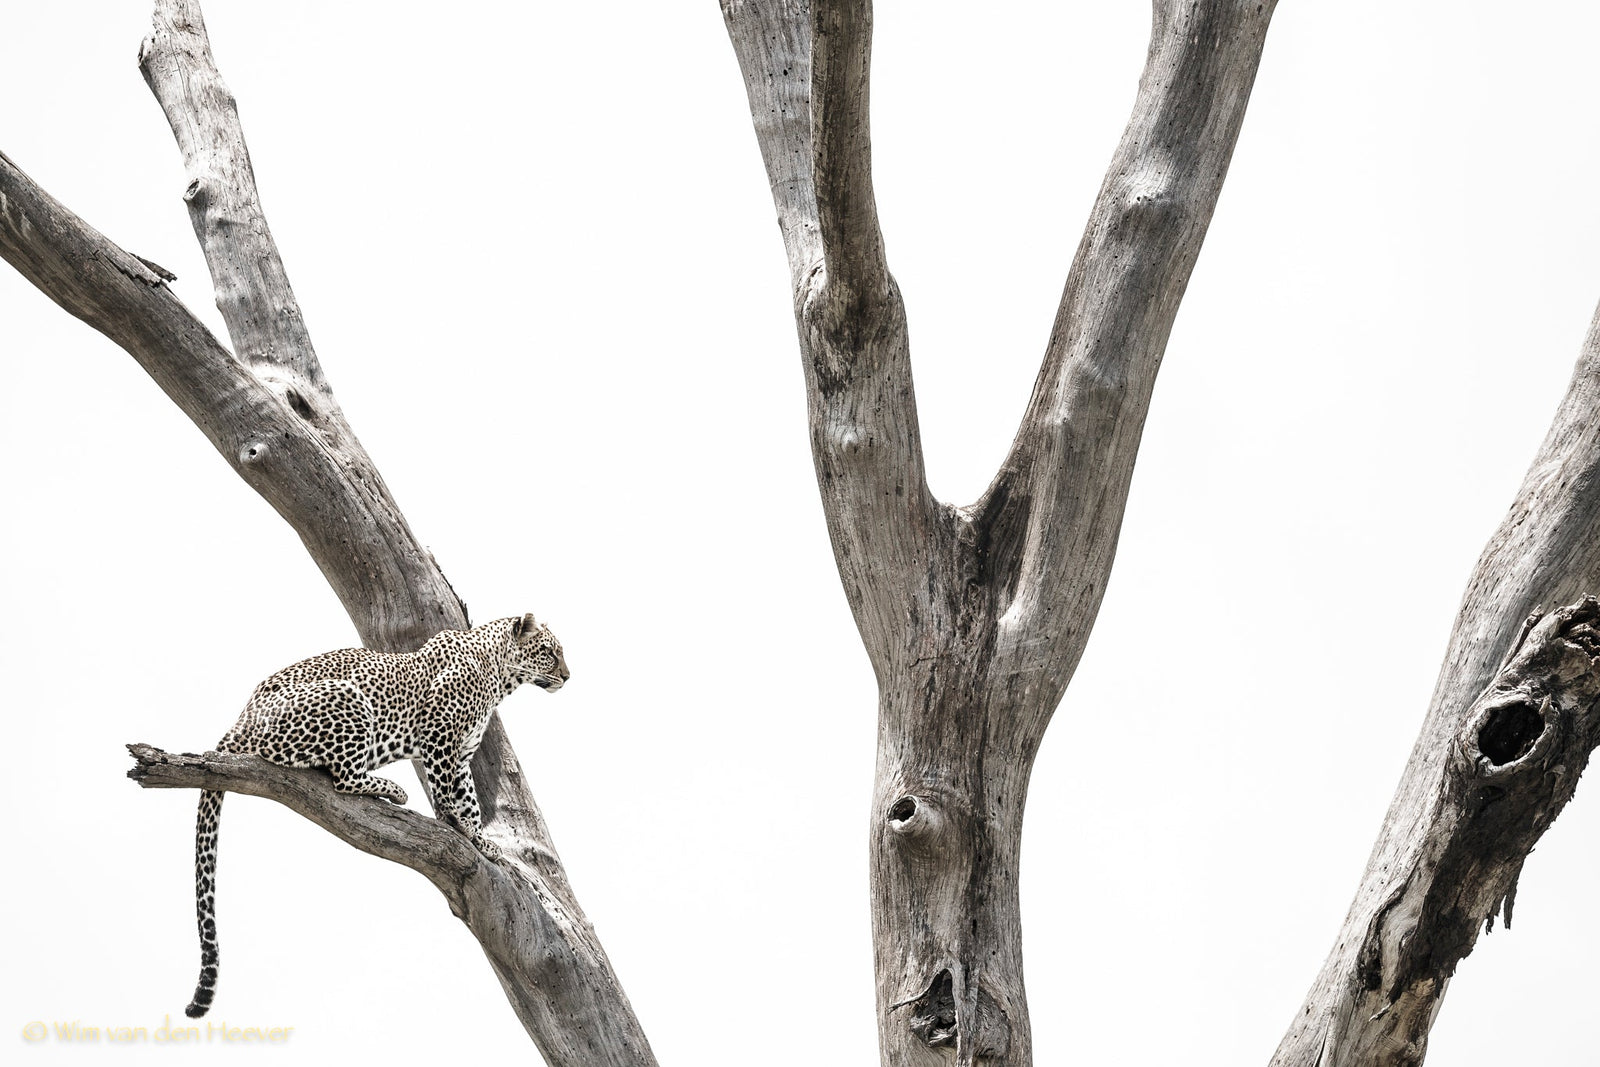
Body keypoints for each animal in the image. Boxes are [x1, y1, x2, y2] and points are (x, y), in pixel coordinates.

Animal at [184, 613, 568, 1019]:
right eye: (549, 652)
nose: (568, 675)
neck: (498, 674)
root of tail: (240, 721)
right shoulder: (440, 740)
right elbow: (448, 792)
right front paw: (461, 828)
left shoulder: (462, 754)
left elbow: (469, 799)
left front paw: (480, 838)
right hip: (348, 698)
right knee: (343, 777)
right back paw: (394, 790)